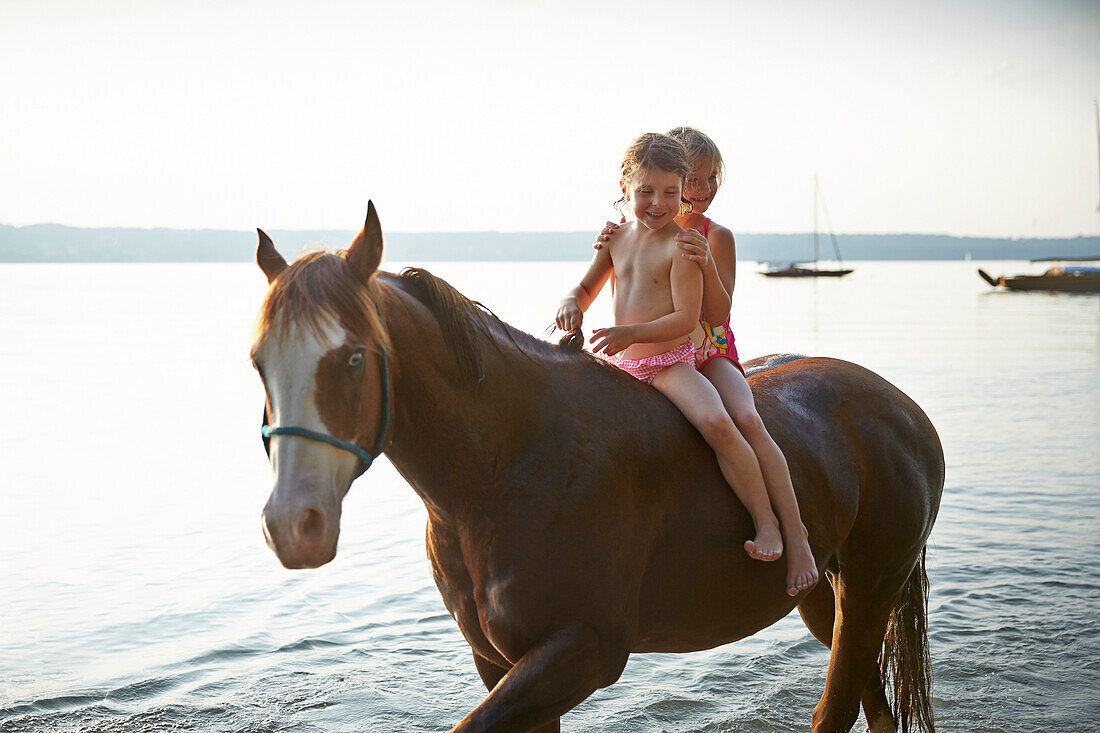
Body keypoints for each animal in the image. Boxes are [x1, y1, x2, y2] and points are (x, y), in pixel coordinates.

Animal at [251, 202, 946, 726]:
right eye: (259, 360)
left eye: (354, 357)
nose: (293, 524)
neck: (504, 466)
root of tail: (904, 408)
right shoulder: (500, 661)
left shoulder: (583, 651)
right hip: (825, 596)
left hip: (871, 585)